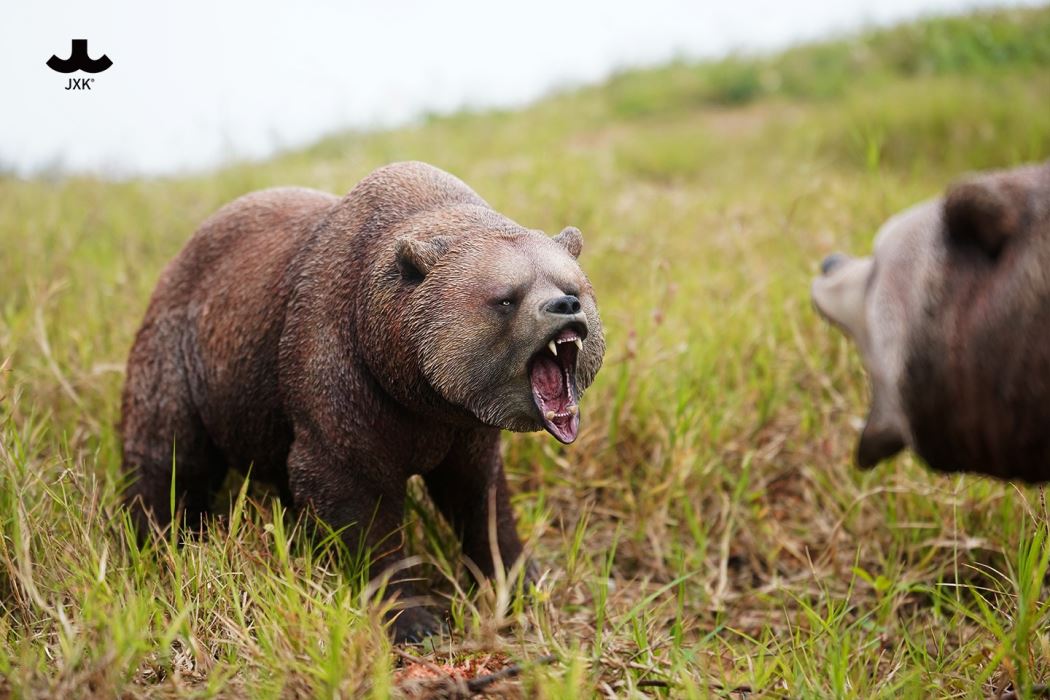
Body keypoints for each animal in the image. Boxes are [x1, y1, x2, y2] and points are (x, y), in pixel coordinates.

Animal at [120, 161, 605, 641]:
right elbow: (354, 498)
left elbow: (480, 497)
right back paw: (154, 538)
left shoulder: (465, 427)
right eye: (506, 298)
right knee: (167, 451)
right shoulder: (342, 378)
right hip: (183, 355)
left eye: (572, 285)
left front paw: (522, 584)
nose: (565, 306)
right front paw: (414, 619)